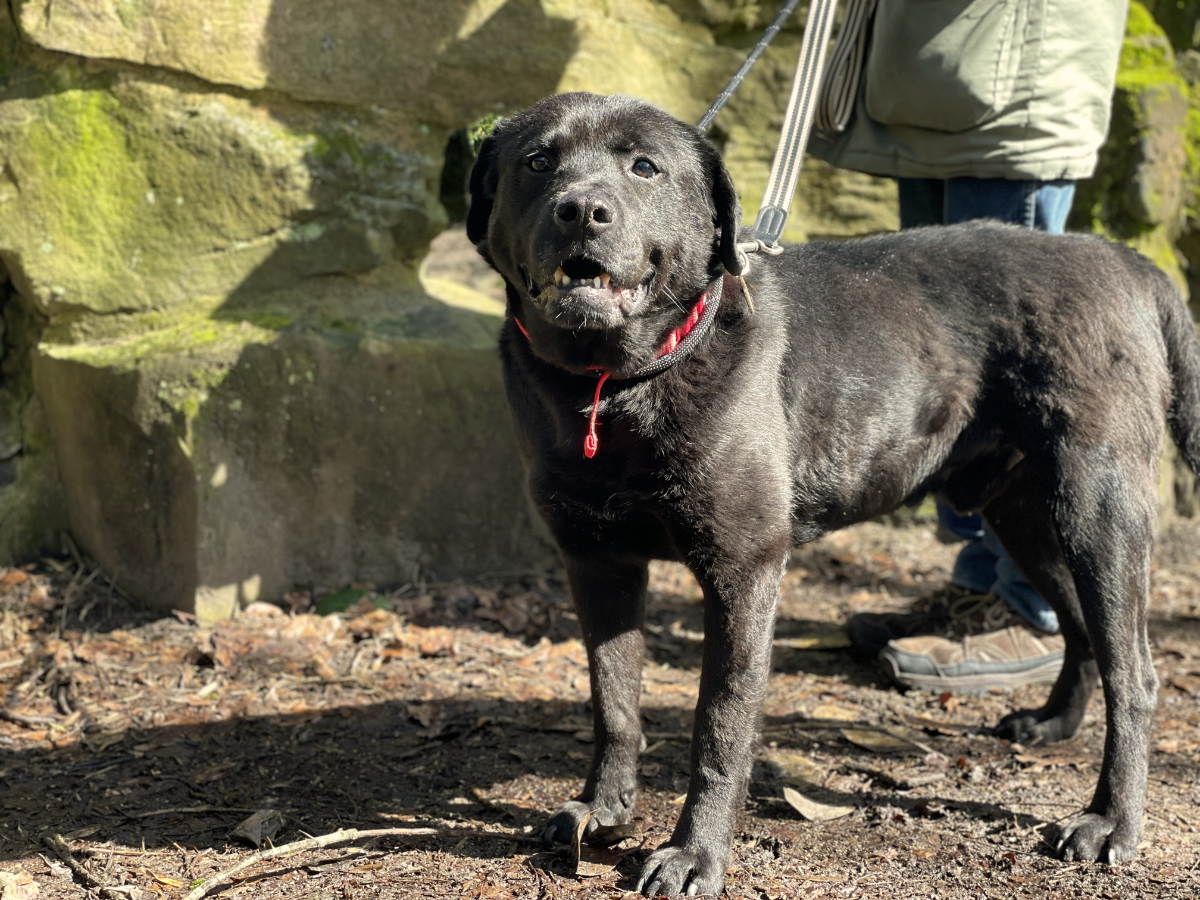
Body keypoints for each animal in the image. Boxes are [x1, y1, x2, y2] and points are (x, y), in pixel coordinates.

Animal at [463, 95, 1195, 897]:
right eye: (538, 161)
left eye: (644, 167)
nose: (582, 210)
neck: (619, 387)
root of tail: (1129, 262)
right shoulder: (598, 563)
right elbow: (614, 703)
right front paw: (603, 810)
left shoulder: (743, 571)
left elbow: (718, 726)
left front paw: (695, 854)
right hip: (1027, 516)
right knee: (1081, 629)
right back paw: (1054, 723)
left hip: (1097, 510)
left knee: (1137, 673)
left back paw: (1110, 822)